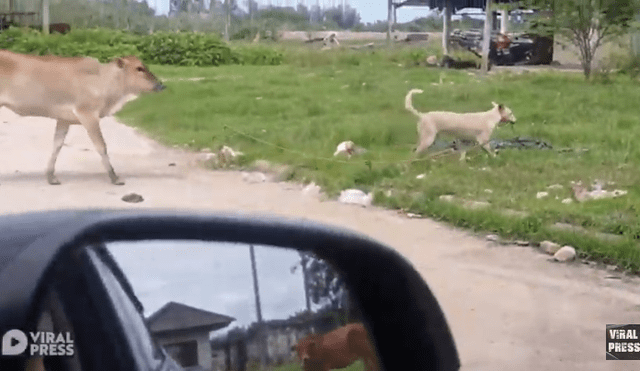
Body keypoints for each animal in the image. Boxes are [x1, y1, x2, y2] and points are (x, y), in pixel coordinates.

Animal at [0, 51, 168, 186]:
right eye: (139, 68)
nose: (161, 85)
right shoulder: (87, 113)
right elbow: (101, 146)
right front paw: (115, 178)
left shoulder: (64, 119)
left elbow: (57, 145)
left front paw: (51, 177)